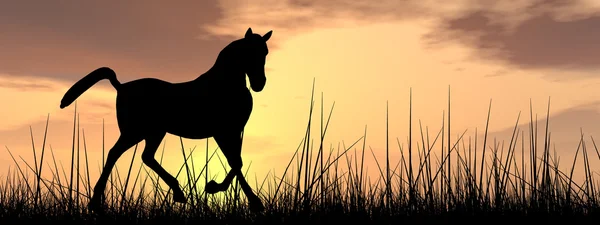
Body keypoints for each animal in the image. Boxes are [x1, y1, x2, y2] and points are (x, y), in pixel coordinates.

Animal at [59, 27, 272, 212]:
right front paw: (229, 193)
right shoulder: (222, 132)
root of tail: (121, 86)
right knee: (114, 153)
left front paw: (241, 197)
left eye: (265, 52)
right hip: (135, 132)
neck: (224, 85)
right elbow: (235, 162)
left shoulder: (234, 131)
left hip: (154, 132)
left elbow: (237, 162)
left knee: (146, 157)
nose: (259, 83)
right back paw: (95, 203)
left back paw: (178, 193)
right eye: (249, 52)